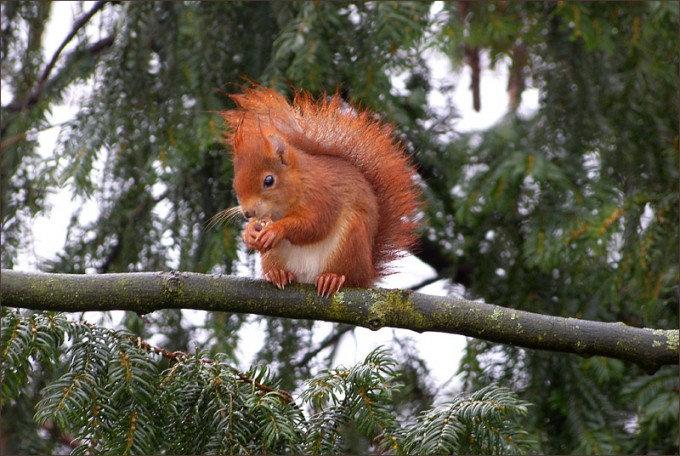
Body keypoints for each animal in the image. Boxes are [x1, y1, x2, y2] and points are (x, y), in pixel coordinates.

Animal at [220, 85, 422, 296]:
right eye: (235, 183)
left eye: (269, 180)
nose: (248, 212)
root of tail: (367, 274)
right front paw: (250, 232)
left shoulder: (324, 195)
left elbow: (315, 224)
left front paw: (276, 230)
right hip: (274, 256)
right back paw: (278, 274)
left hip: (350, 241)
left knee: (348, 276)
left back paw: (331, 278)